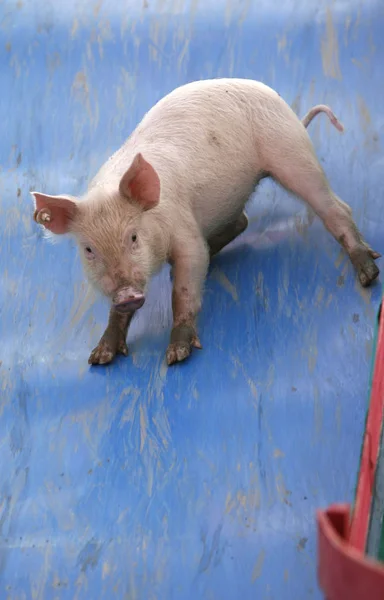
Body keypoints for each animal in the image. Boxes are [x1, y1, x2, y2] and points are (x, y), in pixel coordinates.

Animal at [33, 78, 380, 366]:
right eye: (89, 250)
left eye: (133, 237)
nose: (126, 293)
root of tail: (289, 110)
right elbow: (116, 315)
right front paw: (98, 358)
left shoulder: (183, 230)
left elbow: (184, 287)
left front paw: (176, 356)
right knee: (243, 220)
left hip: (292, 152)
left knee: (336, 208)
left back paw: (368, 275)